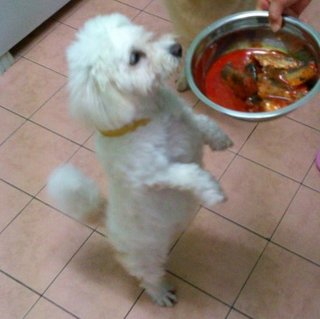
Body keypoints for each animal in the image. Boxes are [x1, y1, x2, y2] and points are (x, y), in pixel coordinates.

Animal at [47, 13, 232, 308]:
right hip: (145, 256)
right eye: (135, 58)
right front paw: (212, 191)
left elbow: (204, 123)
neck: (152, 115)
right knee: (148, 277)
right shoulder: (155, 173)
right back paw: (161, 293)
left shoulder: (188, 123)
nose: (177, 48)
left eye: (146, 37)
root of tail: (106, 217)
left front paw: (220, 140)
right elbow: (189, 173)